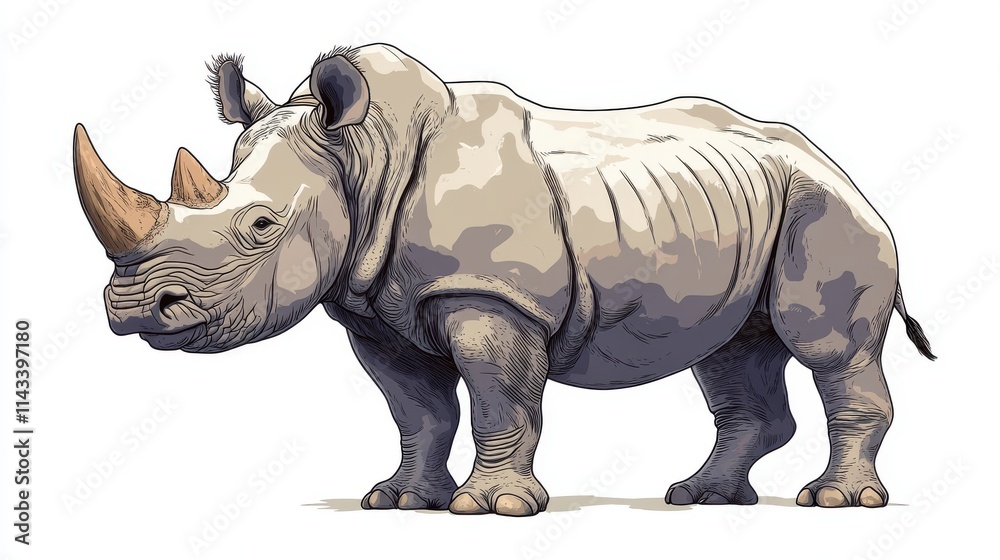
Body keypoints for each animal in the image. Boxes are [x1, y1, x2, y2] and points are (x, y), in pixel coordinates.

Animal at [73, 43, 935, 516]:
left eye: (260, 228)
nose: (133, 308)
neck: (362, 157)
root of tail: (841, 167)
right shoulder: (374, 310)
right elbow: (417, 410)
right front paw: (398, 501)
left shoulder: (490, 296)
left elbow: (498, 400)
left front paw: (492, 509)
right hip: (743, 209)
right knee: (731, 352)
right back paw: (699, 497)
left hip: (827, 210)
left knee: (827, 348)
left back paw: (835, 502)